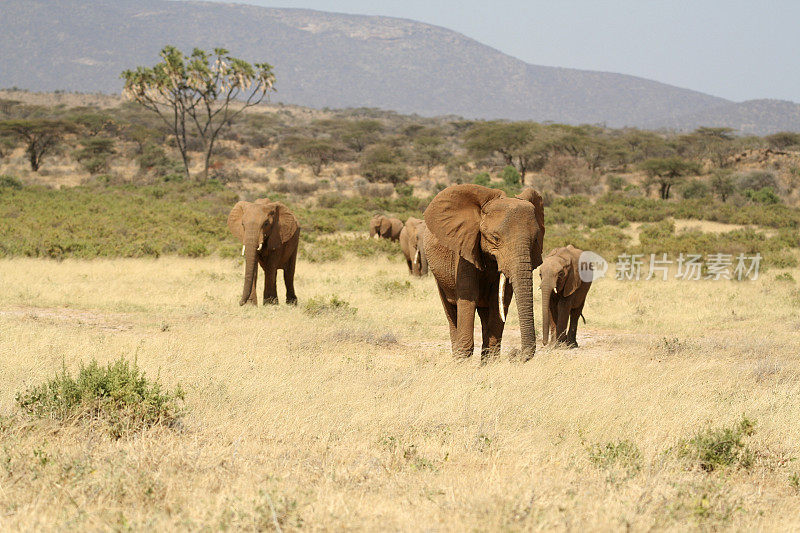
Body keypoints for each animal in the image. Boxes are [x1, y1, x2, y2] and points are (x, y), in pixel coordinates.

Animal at [424, 184, 544, 362]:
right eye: (495, 238)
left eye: (535, 239)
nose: (515, 354)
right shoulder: (464, 250)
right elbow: (468, 296)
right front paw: (462, 362)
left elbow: (499, 301)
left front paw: (490, 364)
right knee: (451, 310)